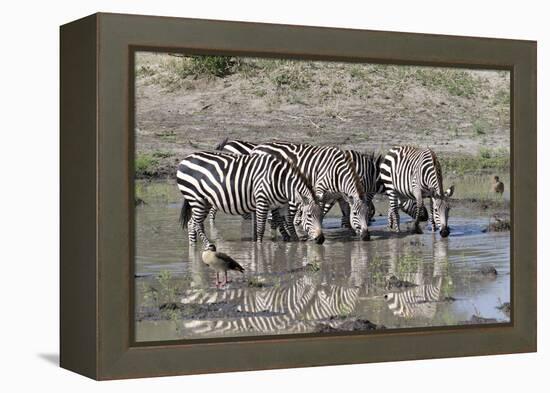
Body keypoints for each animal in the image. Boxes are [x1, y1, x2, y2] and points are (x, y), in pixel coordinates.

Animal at [177, 149, 326, 245]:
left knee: (192, 223)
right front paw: (258, 247)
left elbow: (288, 224)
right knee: (195, 223)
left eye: (321, 216)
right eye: (309, 216)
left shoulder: (280, 203)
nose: (321, 240)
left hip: (205, 201)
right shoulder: (262, 201)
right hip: (196, 199)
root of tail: (186, 159)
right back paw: (208, 246)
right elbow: (260, 228)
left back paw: (193, 247)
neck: (281, 182)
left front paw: (293, 243)